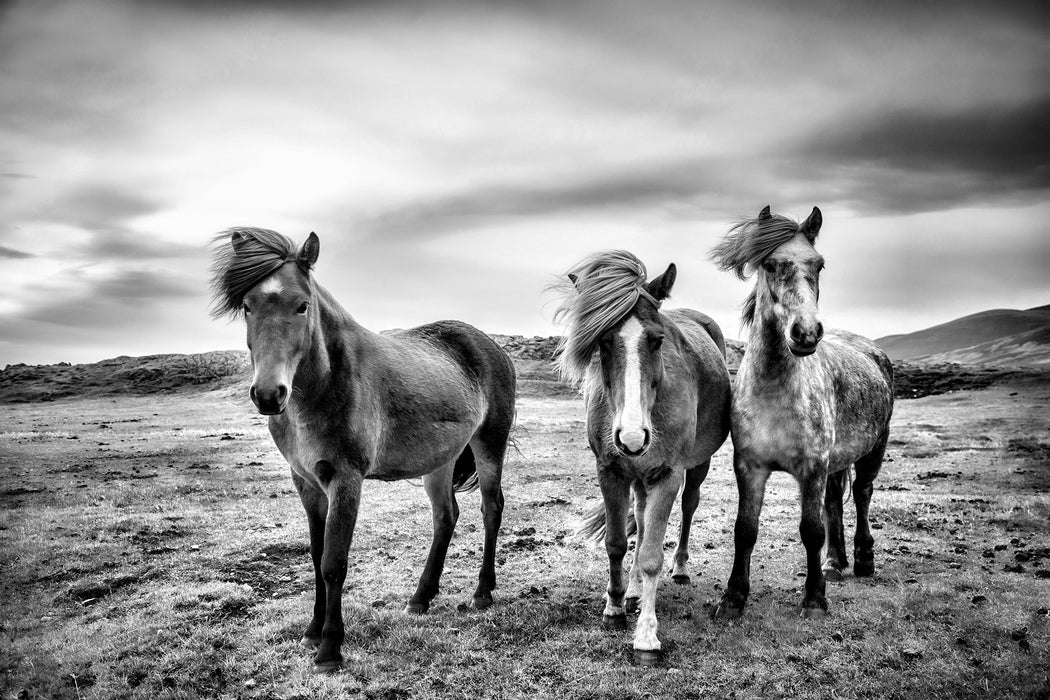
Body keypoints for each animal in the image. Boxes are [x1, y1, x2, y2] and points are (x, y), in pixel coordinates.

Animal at [206, 227, 514, 671]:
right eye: (247, 306)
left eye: (302, 306)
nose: (268, 394)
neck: (323, 388)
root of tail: (490, 344)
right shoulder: (307, 483)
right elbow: (316, 557)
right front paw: (311, 632)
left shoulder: (345, 480)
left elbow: (334, 564)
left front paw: (330, 649)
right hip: (440, 460)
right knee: (446, 516)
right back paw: (420, 598)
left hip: (489, 444)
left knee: (491, 509)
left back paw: (482, 592)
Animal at [550, 248, 730, 667]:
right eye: (601, 341)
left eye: (657, 340)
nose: (632, 438)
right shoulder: (611, 471)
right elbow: (618, 543)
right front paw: (614, 607)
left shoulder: (667, 474)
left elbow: (650, 556)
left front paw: (646, 636)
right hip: (637, 477)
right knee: (643, 517)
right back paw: (631, 591)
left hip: (694, 468)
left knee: (687, 509)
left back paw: (679, 568)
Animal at [705, 206, 894, 617]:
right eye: (770, 264)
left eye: (819, 264)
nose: (806, 333)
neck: (775, 390)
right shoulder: (750, 466)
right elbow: (745, 530)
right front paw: (733, 599)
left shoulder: (812, 467)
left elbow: (811, 530)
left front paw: (814, 599)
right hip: (836, 461)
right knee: (835, 502)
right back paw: (835, 562)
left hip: (874, 448)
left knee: (862, 493)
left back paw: (863, 560)